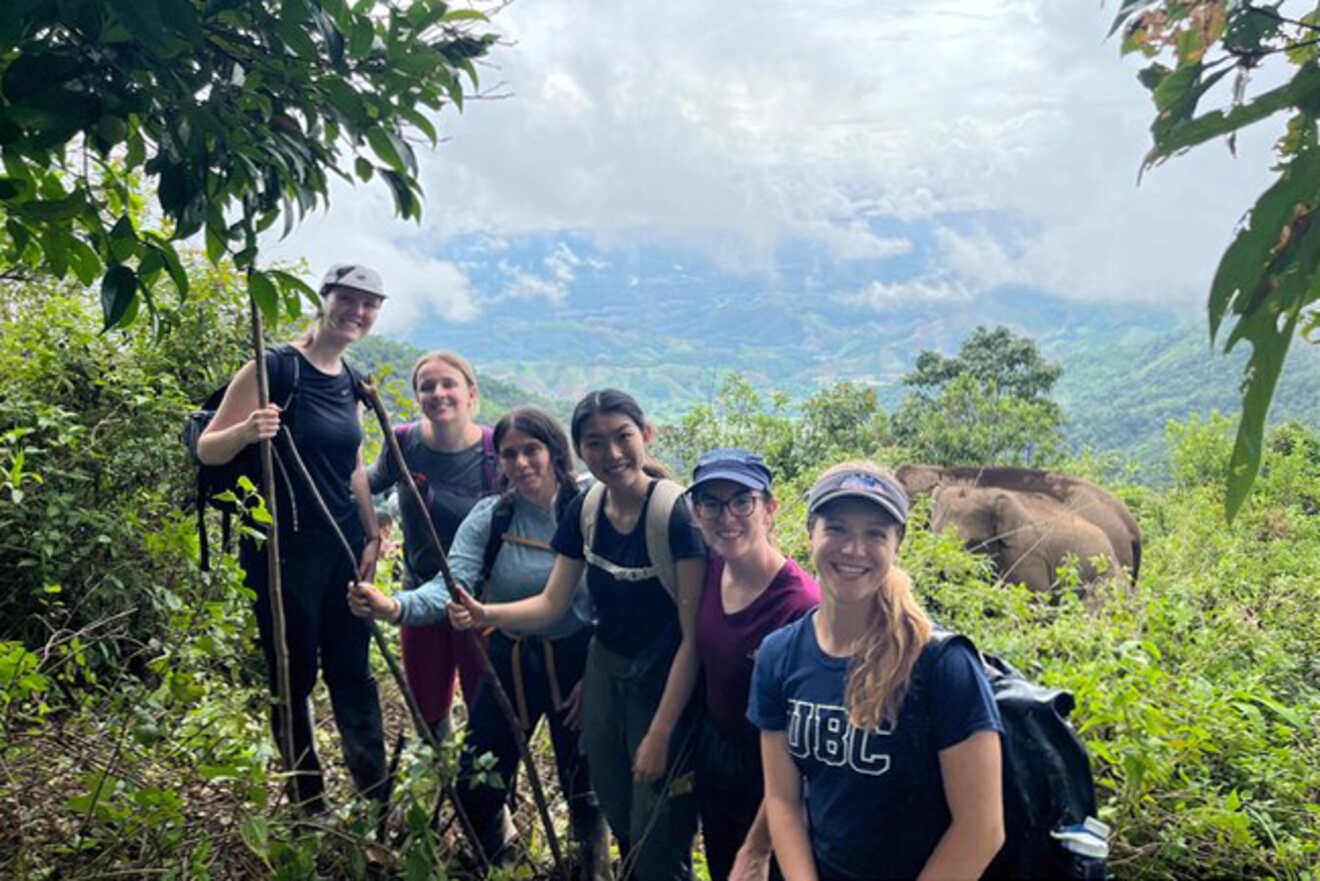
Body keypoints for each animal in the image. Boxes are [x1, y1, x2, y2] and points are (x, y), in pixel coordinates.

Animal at [929, 483, 1124, 599]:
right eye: (934, 535)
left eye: (971, 543)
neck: (988, 493)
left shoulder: (1026, 555)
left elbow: (1032, 597)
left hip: (1105, 577)